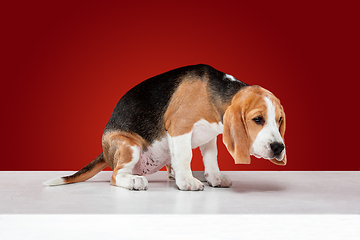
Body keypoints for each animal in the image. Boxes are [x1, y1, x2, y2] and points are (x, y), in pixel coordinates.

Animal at [45, 64, 286, 191]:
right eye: (258, 119)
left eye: (279, 120)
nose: (278, 148)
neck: (215, 93)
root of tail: (105, 153)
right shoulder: (179, 127)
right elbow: (186, 156)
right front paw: (187, 182)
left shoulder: (209, 136)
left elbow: (211, 158)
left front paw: (214, 178)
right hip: (129, 146)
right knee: (116, 175)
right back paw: (133, 180)